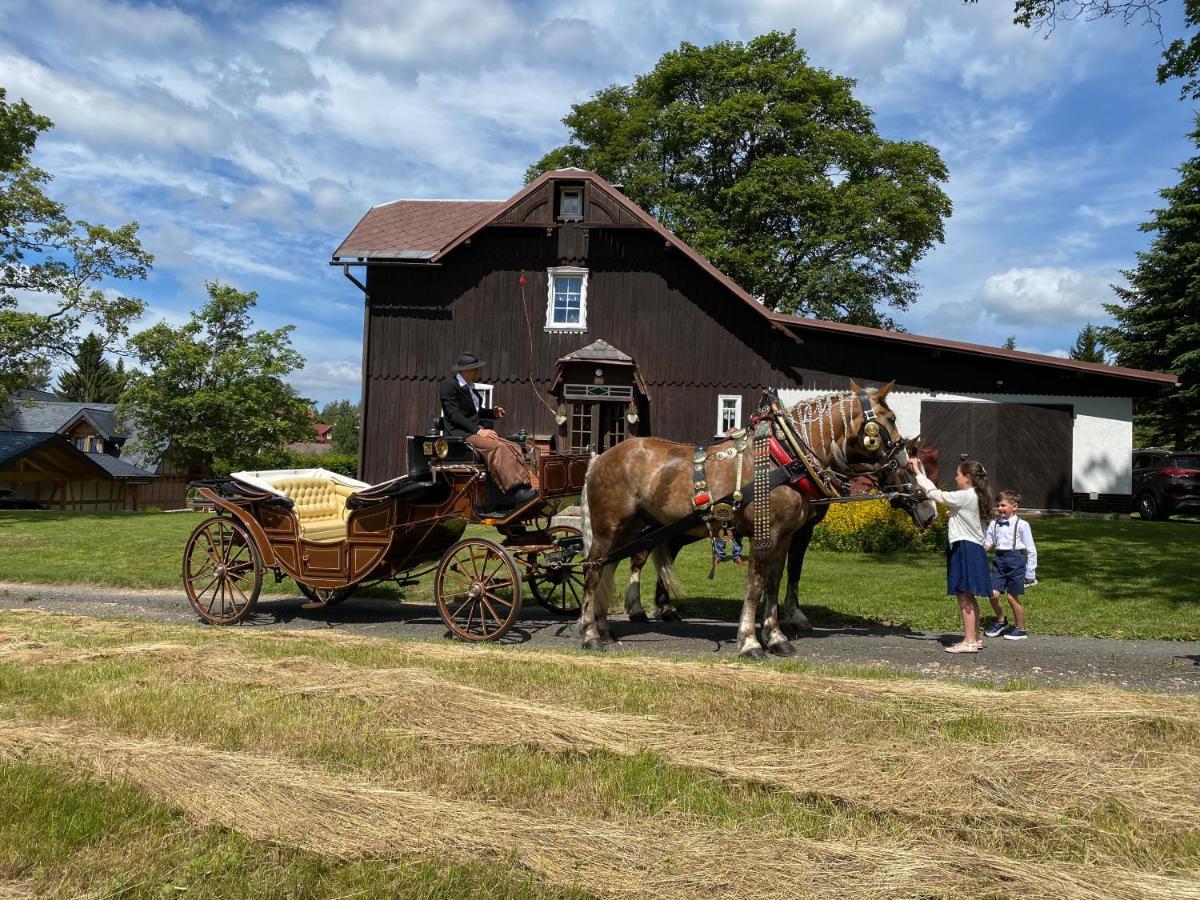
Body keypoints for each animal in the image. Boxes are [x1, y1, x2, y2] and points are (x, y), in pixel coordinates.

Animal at [578, 384, 936, 657]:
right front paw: (750, 641)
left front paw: (776, 637)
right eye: (890, 419)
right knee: (594, 570)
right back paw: (590, 633)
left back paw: (606, 628)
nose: (929, 510)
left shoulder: (786, 536)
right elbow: (755, 584)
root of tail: (600, 458)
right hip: (609, 526)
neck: (786, 457)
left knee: (611, 566)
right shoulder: (766, 533)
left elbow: (774, 582)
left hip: (632, 527)